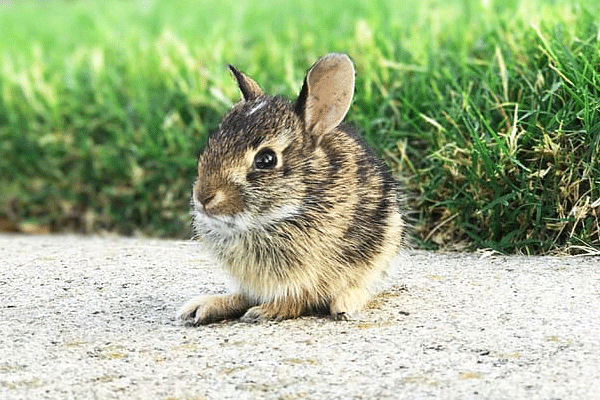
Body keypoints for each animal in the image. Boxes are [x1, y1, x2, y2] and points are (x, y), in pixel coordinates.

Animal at [176, 52, 406, 324]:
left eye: (266, 160)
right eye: (212, 144)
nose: (203, 198)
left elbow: (297, 300)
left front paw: (266, 311)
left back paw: (345, 305)